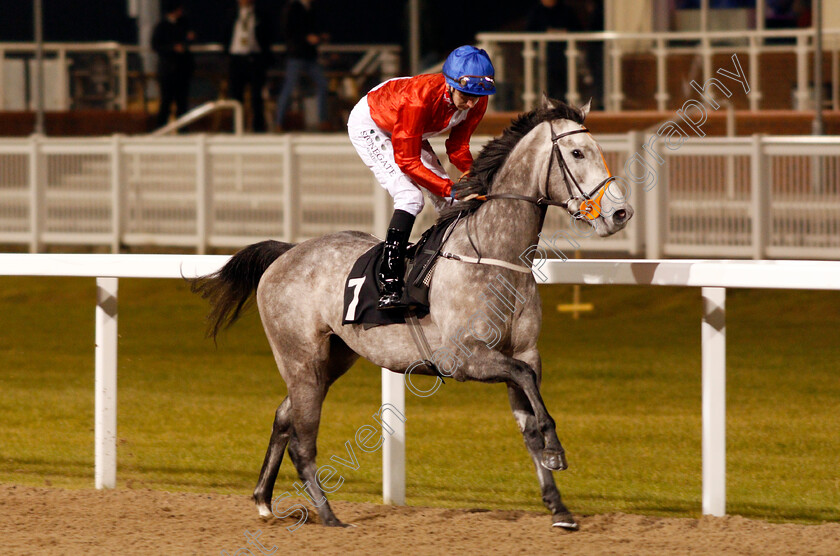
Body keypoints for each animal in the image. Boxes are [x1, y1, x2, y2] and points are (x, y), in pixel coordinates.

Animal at [194, 97, 632, 528]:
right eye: (577, 152)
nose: (620, 213)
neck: (494, 255)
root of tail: (285, 253)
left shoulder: (523, 351)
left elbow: (530, 418)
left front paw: (559, 507)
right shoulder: (465, 357)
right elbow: (527, 388)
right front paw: (557, 451)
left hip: (330, 360)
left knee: (284, 417)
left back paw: (264, 499)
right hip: (300, 358)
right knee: (303, 439)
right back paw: (329, 515)